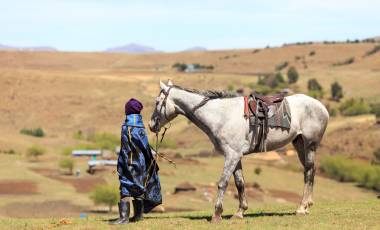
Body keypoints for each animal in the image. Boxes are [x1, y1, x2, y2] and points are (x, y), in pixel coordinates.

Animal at [148, 80, 330, 222]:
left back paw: (301, 208)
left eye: (157, 102)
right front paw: (240, 212)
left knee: (309, 172)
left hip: (310, 144)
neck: (221, 116)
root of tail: (321, 106)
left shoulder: (231, 155)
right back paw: (306, 206)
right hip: (299, 144)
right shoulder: (235, 156)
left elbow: (222, 183)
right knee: (310, 171)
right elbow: (240, 183)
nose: (151, 125)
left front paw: (217, 214)